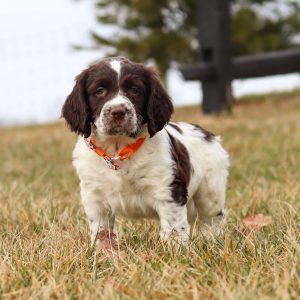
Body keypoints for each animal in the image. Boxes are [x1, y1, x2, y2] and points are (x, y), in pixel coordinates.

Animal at [61, 56, 230, 248]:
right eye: (99, 91)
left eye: (135, 90)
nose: (118, 112)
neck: (118, 150)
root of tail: (209, 134)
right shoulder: (94, 196)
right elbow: (101, 231)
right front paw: (102, 251)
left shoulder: (168, 189)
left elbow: (173, 228)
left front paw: (175, 250)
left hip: (210, 190)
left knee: (212, 217)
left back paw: (210, 241)